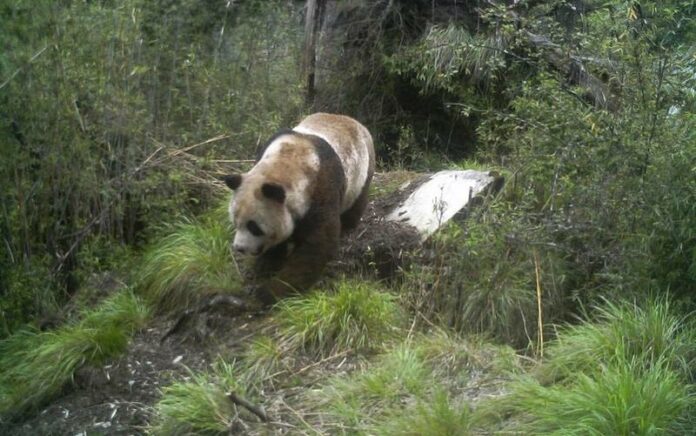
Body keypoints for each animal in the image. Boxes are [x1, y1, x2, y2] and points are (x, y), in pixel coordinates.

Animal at [223, 113, 376, 304]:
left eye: (254, 227)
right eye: (235, 222)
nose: (239, 248)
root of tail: (350, 119)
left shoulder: (322, 191)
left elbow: (316, 247)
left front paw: (268, 292)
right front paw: (265, 266)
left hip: (363, 168)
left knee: (357, 201)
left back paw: (349, 224)